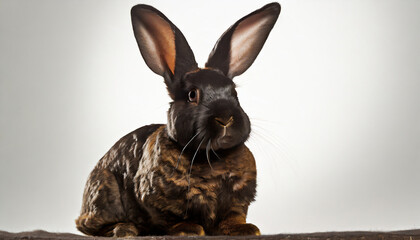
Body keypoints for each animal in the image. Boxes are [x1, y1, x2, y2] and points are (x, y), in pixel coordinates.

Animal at [75, 1, 280, 237]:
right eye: (192, 95)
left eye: (234, 93)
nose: (225, 118)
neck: (211, 157)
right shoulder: (158, 200)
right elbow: (171, 218)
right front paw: (189, 229)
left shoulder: (238, 200)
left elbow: (232, 216)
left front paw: (246, 229)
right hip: (105, 193)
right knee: (90, 226)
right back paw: (124, 229)